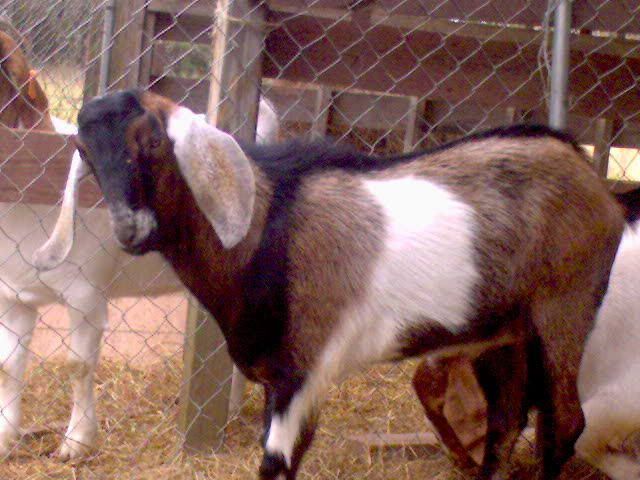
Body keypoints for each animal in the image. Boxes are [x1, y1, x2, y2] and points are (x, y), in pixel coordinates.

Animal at [0, 30, 279, 459]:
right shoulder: (15, 296)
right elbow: (9, 366)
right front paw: (5, 437)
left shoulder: (85, 294)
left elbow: (78, 364)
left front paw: (76, 442)